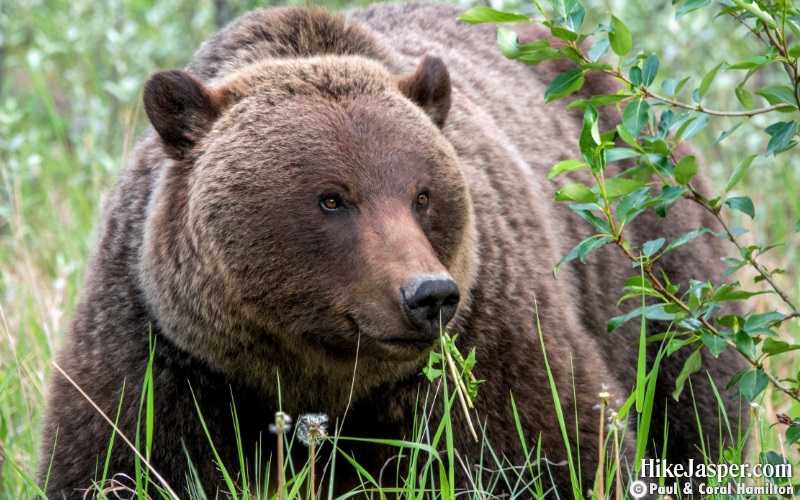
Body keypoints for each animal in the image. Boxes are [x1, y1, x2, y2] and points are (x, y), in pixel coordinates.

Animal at [39, 2, 752, 496]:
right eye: (332, 198)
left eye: (423, 194)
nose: (428, 295)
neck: (315, 376)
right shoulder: (164, 352)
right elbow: (113, 461)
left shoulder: (483, 343)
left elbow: (558, 446)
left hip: (653, 256)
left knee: (696, 401)